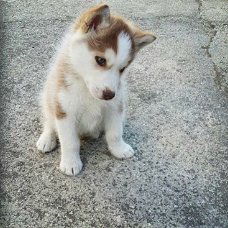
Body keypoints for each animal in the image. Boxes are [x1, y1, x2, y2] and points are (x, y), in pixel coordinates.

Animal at [36, 4, 156, 176]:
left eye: (123, 69)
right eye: (100, 60)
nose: (109, 94)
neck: (88, 92)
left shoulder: (115, 107)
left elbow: (115, 133)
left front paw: (119, 149)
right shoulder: (65, 111)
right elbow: (69, 141)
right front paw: (71, 163)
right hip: (48, 97)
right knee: (49, 121)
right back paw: (47, 139)